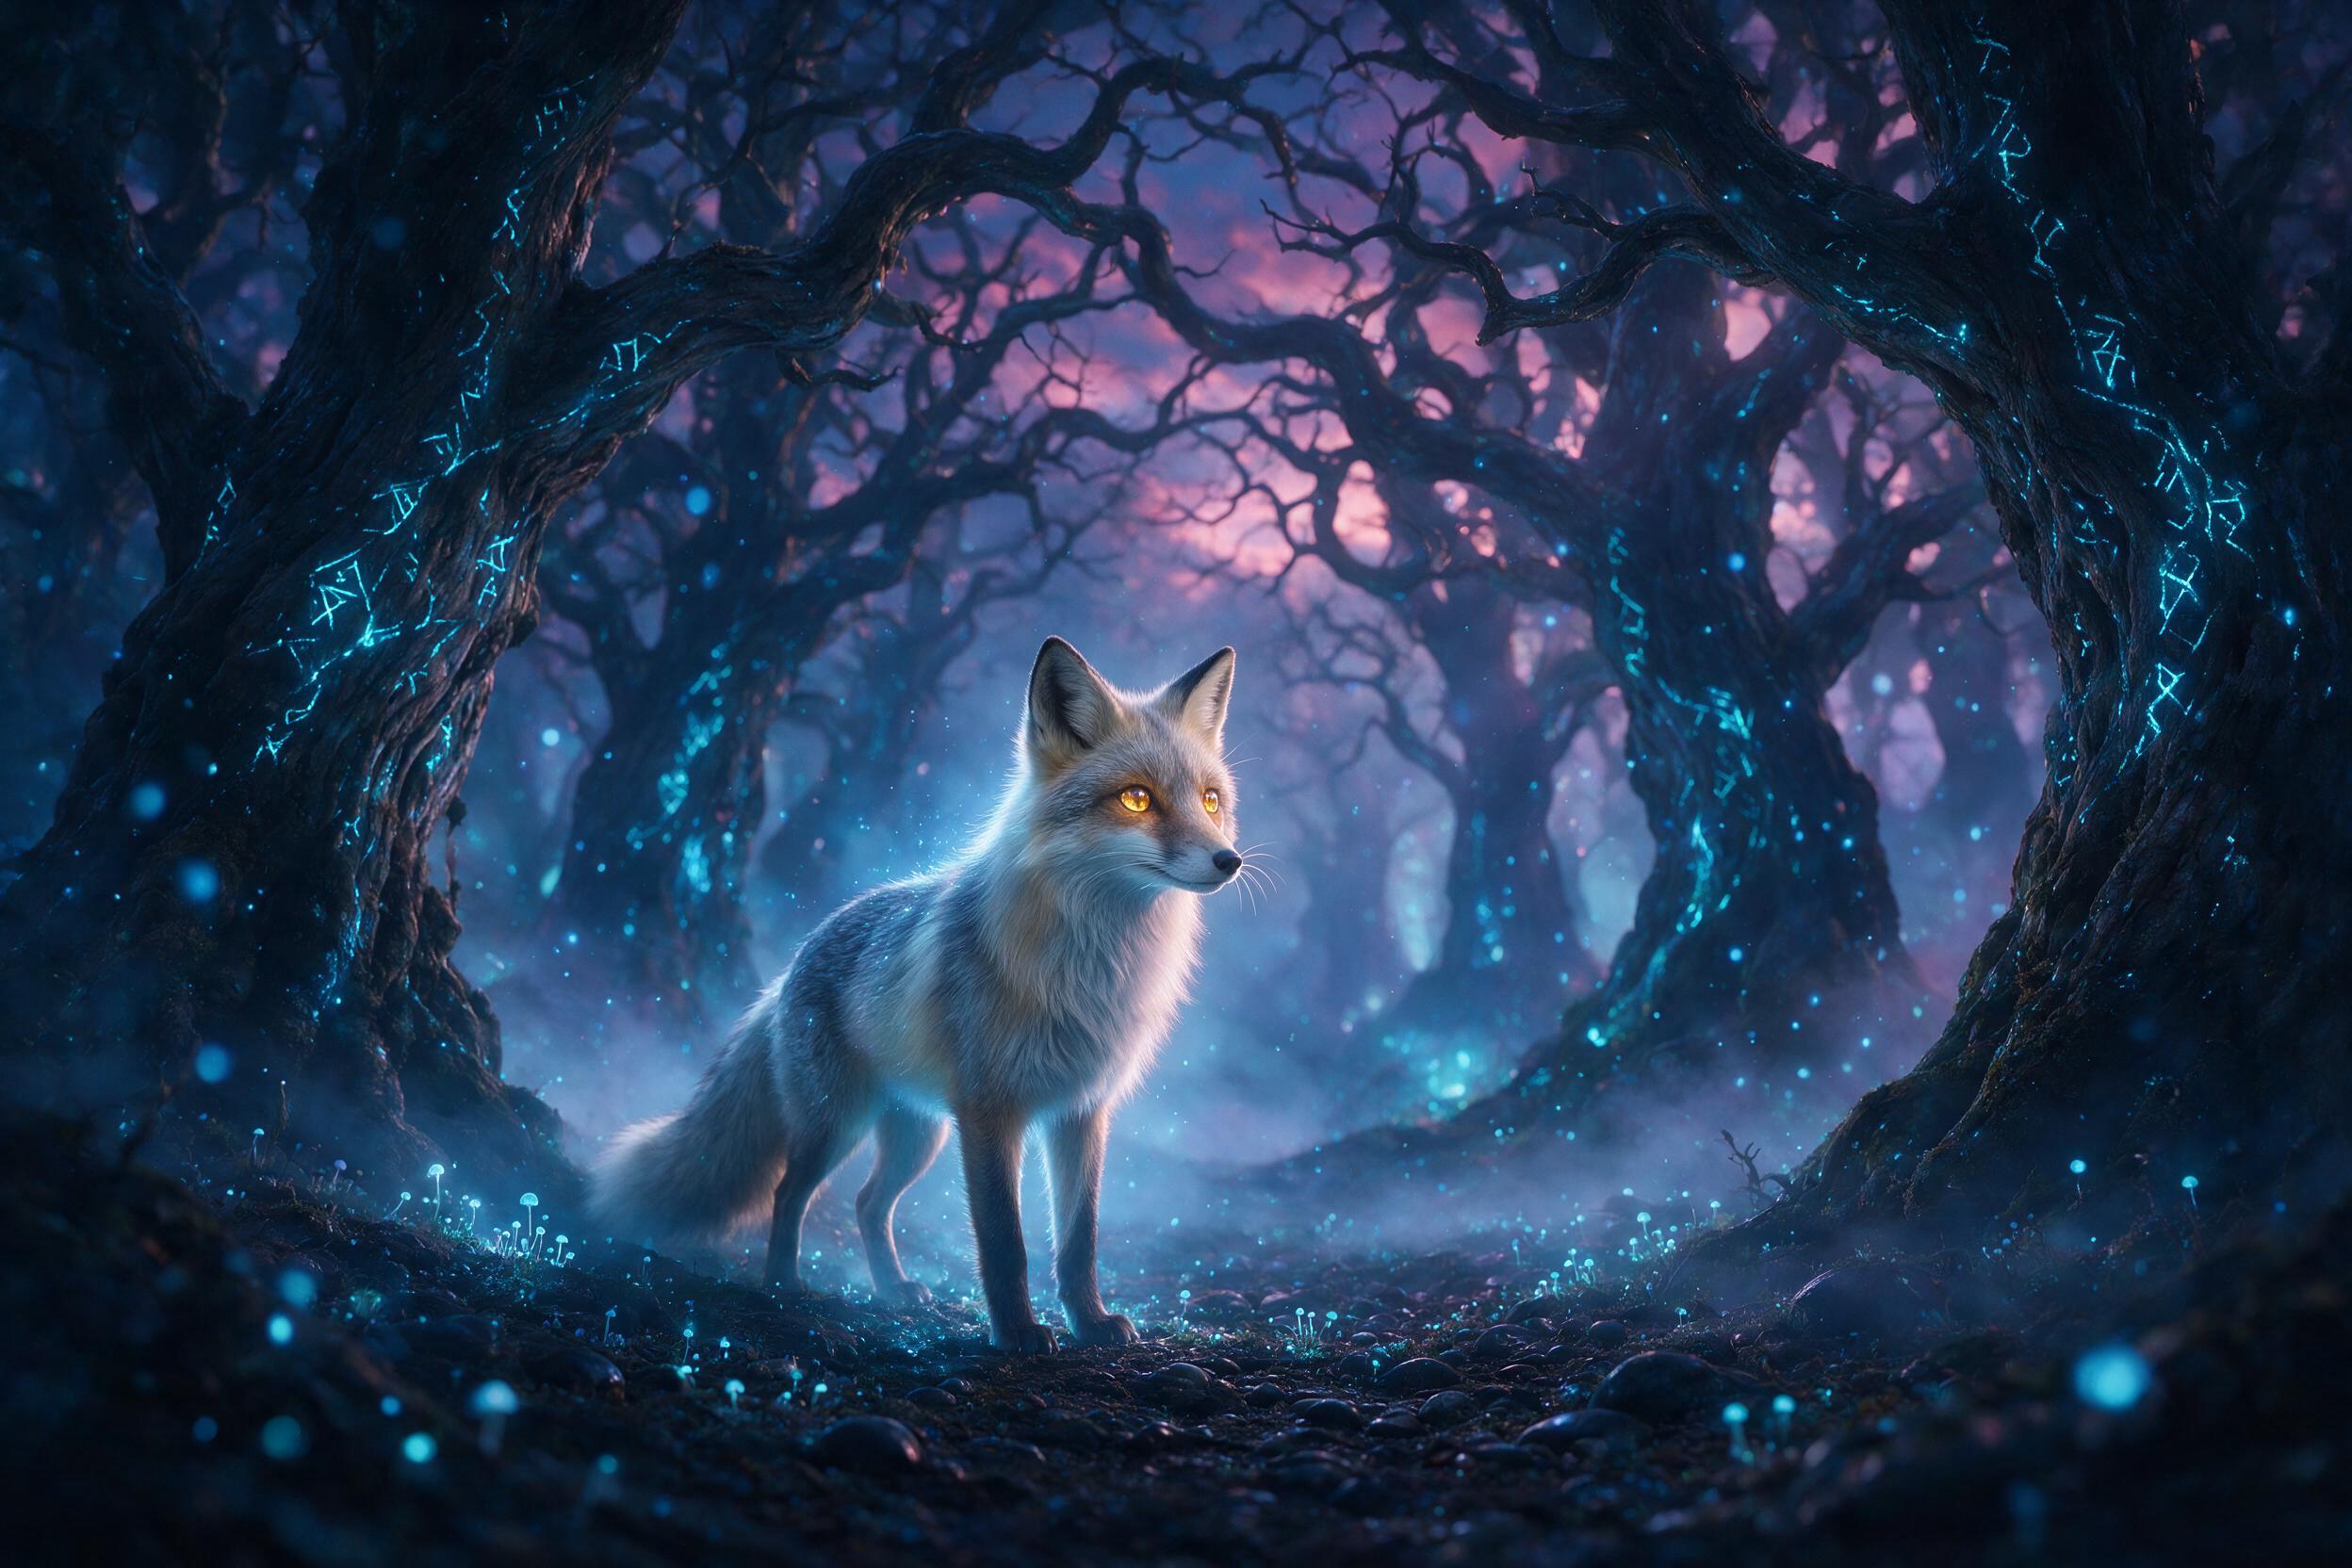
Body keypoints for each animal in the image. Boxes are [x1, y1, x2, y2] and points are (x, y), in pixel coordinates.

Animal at [591, 636, 1244, 1352]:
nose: (1229, 861)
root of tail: (790, 965)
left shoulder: (1081, 1111)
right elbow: (1004, 1242)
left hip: (918, 1134)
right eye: (1136, 799)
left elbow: (1079, 1241)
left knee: (867, 1203)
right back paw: (784, 1283)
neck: (1093, 969)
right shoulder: (989, 1112)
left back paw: (892, 1288)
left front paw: (1091, 1323)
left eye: (1211, 801)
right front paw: (1017, 1334)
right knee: (790, 1193)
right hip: (839, 1124)